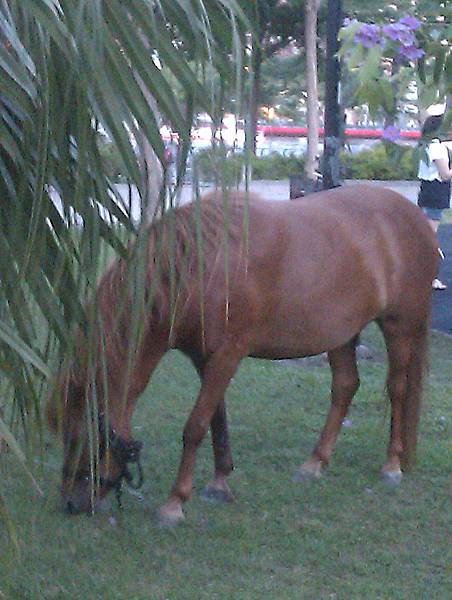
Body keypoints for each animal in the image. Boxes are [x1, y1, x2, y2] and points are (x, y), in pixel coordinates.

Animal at [47, 184, 440, 524]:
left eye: (78, 437)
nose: (70, 503)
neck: (198, 268)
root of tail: (416, 218)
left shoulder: (227, 355)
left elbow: (195, 426)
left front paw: (175, 503)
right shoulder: (204, 357)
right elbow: (216, 420)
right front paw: (219, 482)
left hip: (399, 325)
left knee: (398, 390)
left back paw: (391, 466)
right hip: (342, 333)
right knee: (345, 387)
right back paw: (315, 462)